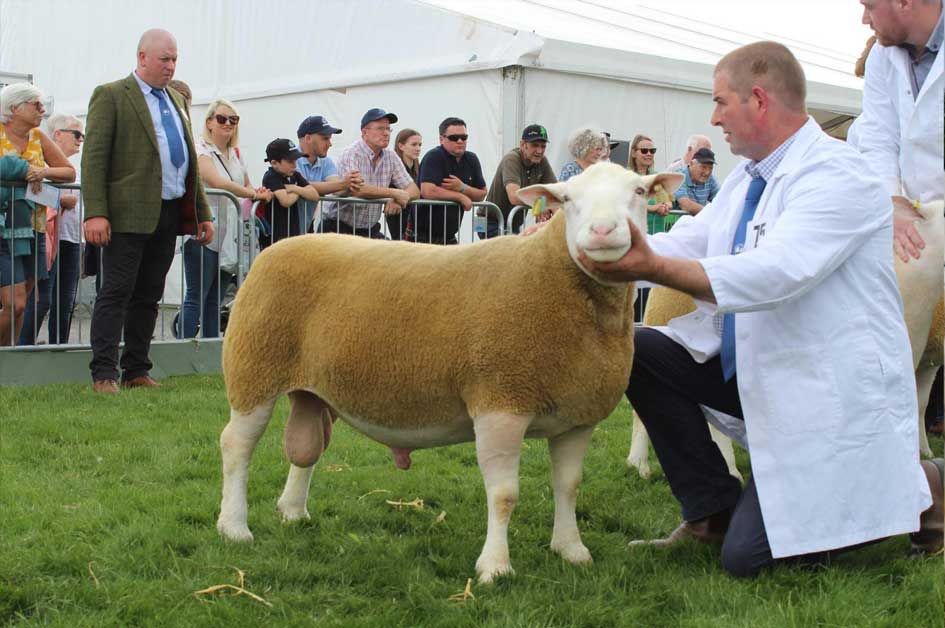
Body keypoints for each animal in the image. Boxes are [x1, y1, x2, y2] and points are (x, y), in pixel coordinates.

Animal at [216, 162, 680, 584]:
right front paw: (495, 567)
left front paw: (571, 549)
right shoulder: (500, 402)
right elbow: (504, 495)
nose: (602, 232)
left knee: (306, 447)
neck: (553, 277)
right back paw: (234, 527)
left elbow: (569, 485)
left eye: (639, 191)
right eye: (567, 199)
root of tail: (277, 248)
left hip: (315, 388)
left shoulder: (577, 415)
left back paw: (293, 511)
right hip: (253, 367)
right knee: (237, 446)